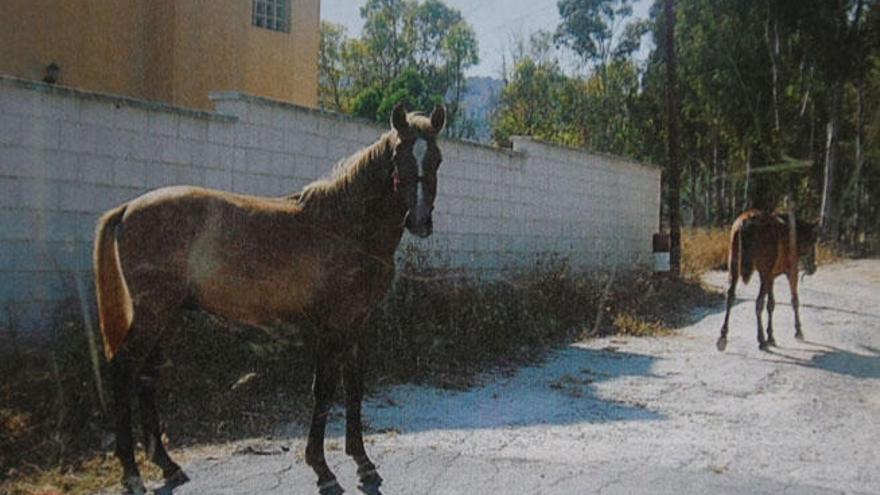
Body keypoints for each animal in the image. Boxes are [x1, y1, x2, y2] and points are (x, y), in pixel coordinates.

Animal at [94, 102, 446, 494]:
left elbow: (354, 388)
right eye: (399, 156)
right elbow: (324, 392)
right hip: (152, 314)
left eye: (437, 159)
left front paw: (363, 463)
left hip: (168, 317)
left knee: (146, 378)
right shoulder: (331, 326)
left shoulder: (358, 324)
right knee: (123, 371)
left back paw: (167, 466)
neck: (345, 226)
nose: (419, 221)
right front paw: (322, 469)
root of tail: (128, 208)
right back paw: (131, 473)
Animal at [716, 209, 820, 352]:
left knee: (731, 297)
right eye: (813, 241)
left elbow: (771, 304)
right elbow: (794, 301)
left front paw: (771, 336)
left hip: (734, 266)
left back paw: (723, 336)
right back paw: (761, 339)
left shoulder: (771, 276)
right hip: (763, 272)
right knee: (758, 303)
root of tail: (745, 223)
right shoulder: (790, 272)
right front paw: (798, 331)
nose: (813, 267)